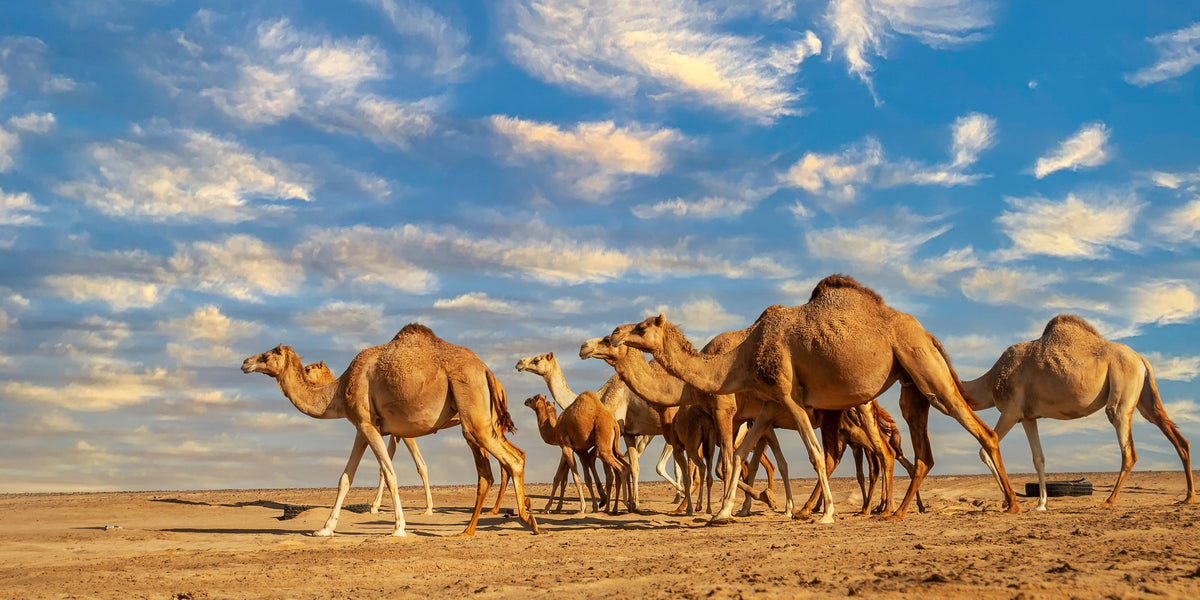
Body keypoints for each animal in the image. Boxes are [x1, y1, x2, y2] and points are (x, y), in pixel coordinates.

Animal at [301, 361, 510, 517]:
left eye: (308, 369)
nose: (302, 372)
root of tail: (500, 388)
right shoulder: (396, 432)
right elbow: (385, 466)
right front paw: (375, 506)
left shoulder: (403, 433)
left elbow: (419, 465)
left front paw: (427, 508)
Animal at [610, 274, 1020, 523]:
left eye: (642, 327)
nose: (613, 334)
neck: (741, 357)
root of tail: (928, 332)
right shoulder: (769, 405)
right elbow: (740, 457)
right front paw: (724, 513)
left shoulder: (784, 397)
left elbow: (811, 455)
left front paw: (825, 514)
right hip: (910, 384)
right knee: (920, 453)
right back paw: (893, 512)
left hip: (924, 368)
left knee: (978, 430)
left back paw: (1011, 503)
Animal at [966, 314, 1194, 510]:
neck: (989, 383)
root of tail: (1141, 359)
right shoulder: (1028, 416)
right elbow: (1039, 458)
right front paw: (1041, 505)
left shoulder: (1011, 411)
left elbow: (985, 449)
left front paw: (1008, 502)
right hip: (1144, 399)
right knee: (1175, 436)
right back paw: (1188, 497)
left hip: (1122, 389)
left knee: (1127, 448)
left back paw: (1108, 501)